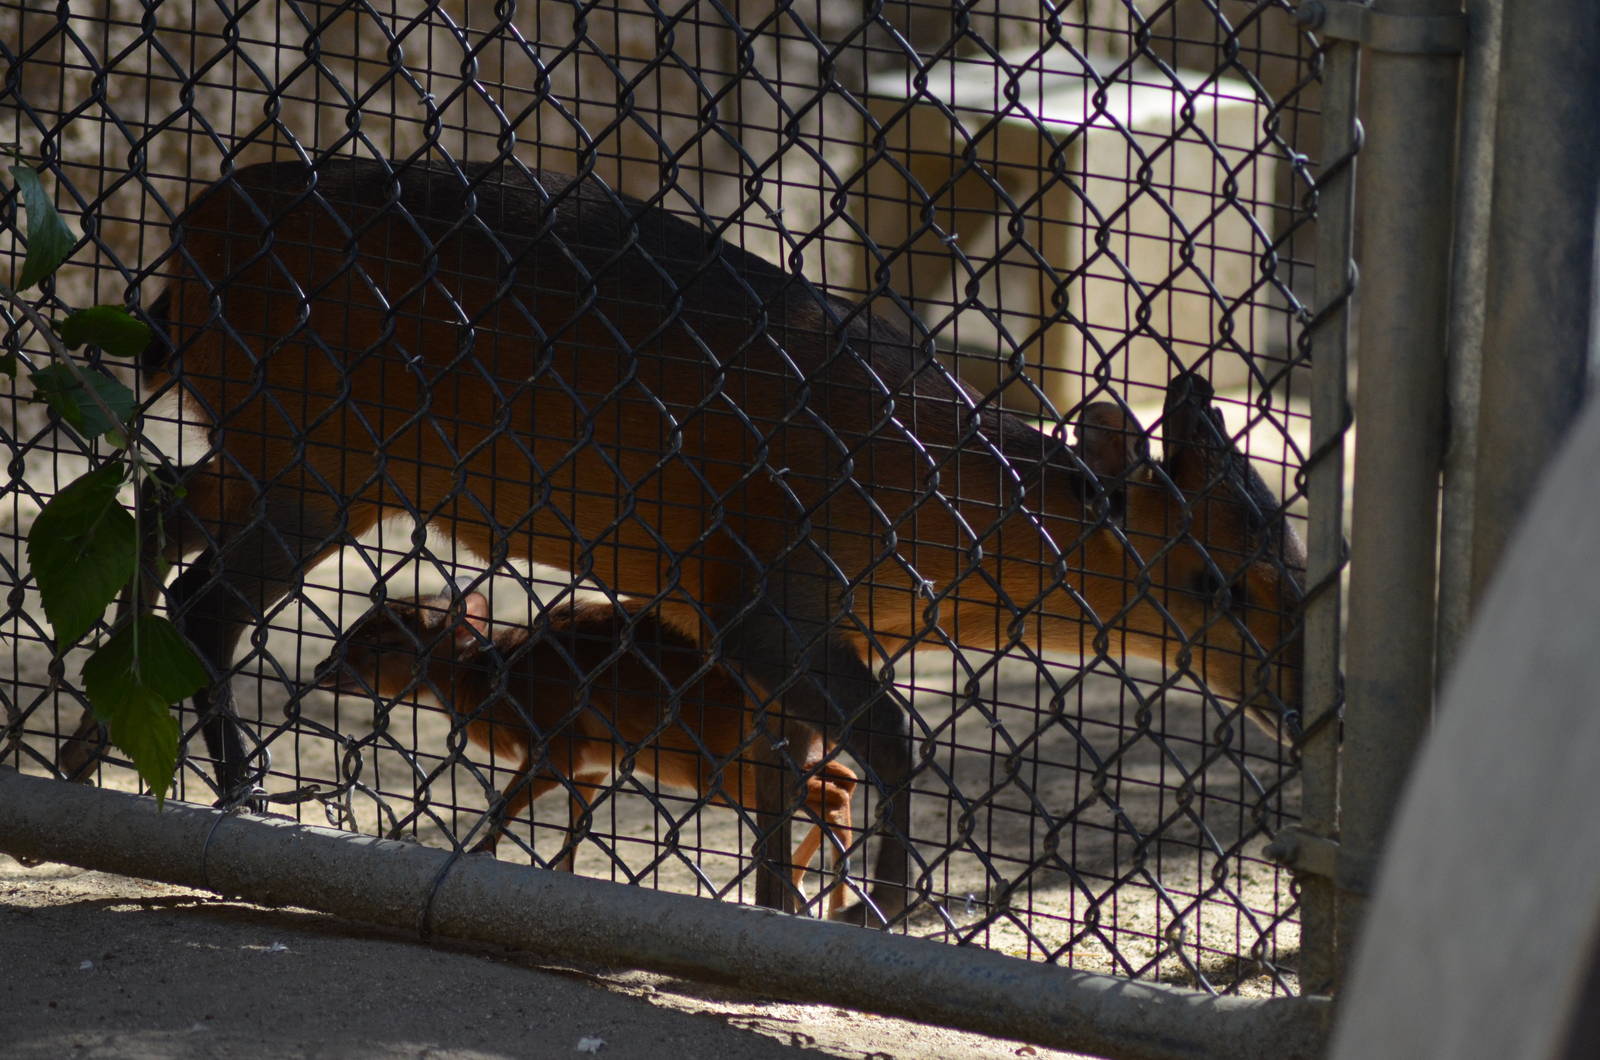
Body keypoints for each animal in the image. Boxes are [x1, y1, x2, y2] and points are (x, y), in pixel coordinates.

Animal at [115, 157, 1302, 924]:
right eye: (1214, 581)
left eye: (1293, 561)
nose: (1295, 700)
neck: (923, 520)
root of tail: (189, 234)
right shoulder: (761, 592)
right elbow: (888, 740)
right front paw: (880, 908)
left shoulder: (779, 634)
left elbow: (785, 779)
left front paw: (788, 904)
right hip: (312, 445)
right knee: (203, 587)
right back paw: (237, 793)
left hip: (290, 450)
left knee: (155, 517)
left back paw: (116, 745)